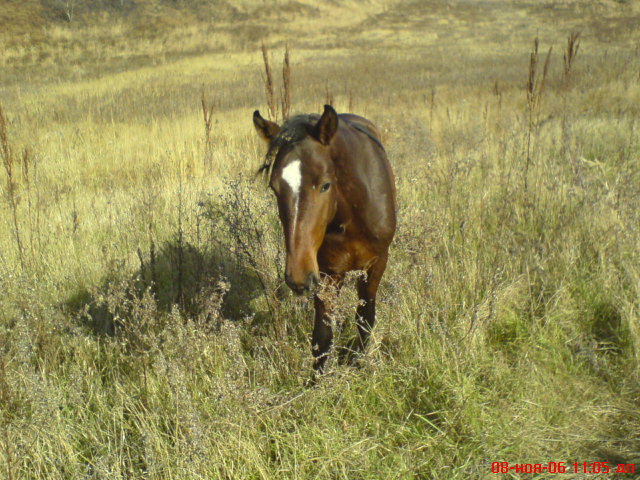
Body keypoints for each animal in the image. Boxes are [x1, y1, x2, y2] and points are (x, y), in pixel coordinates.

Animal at [251, 105, 396, 376]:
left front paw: (360, 363)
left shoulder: (376, 263)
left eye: (326, 185)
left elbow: (365, 317)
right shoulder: (326, 272)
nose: (297, 278)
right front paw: (315, 382)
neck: (352, 216)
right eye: (274, 188)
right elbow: (322, 337)